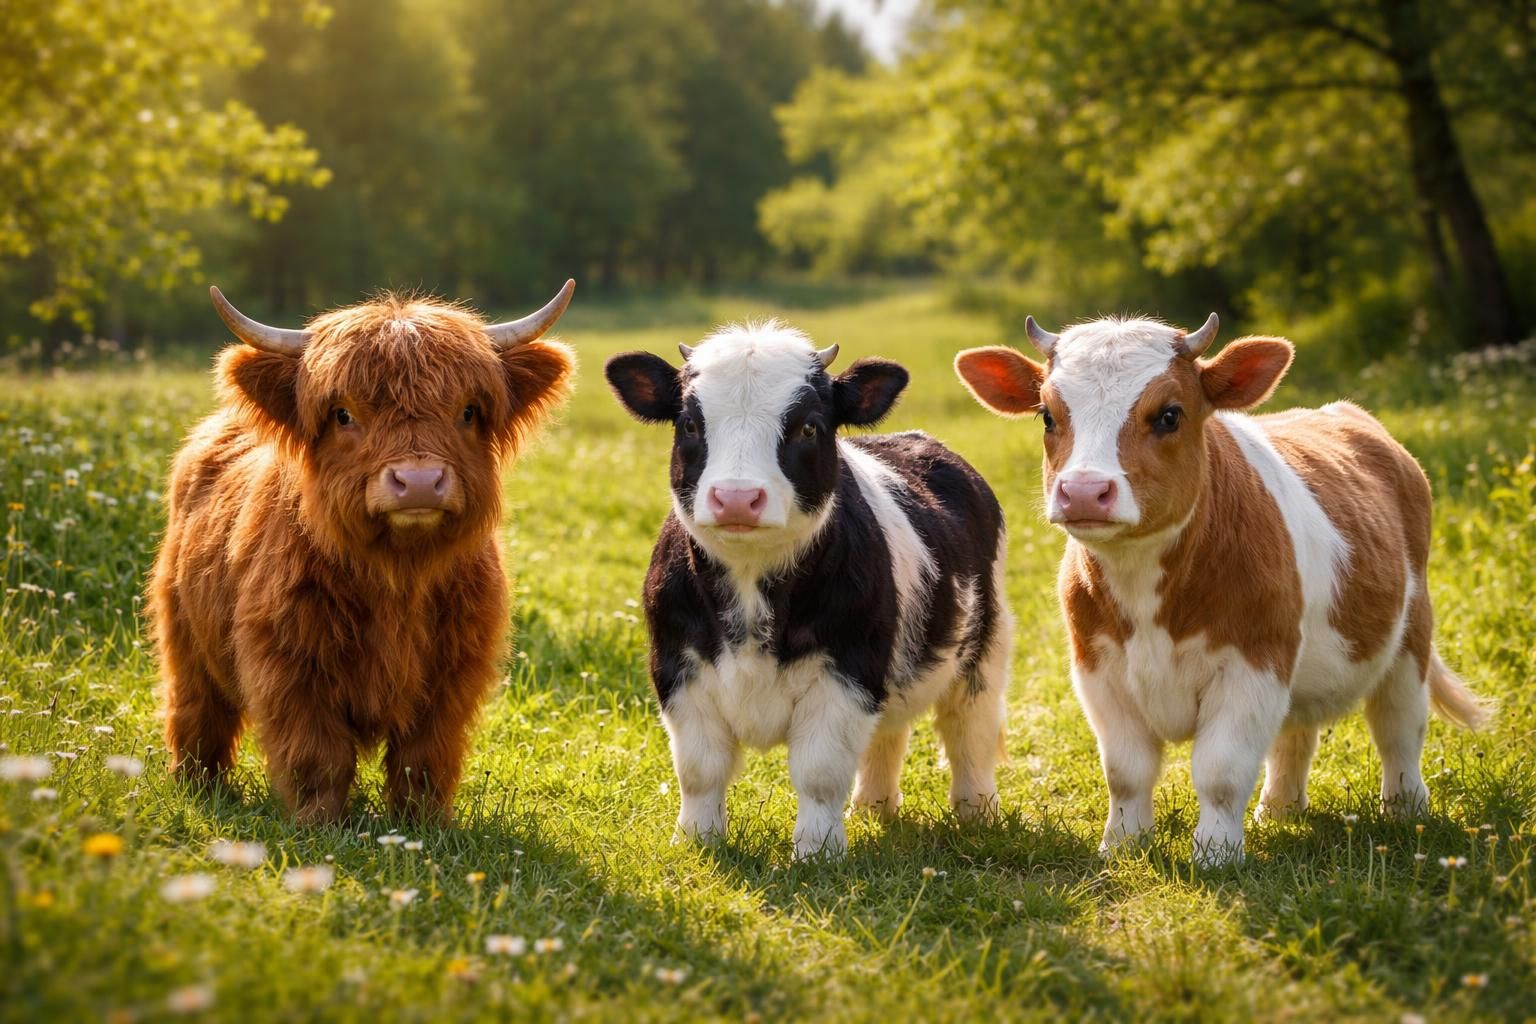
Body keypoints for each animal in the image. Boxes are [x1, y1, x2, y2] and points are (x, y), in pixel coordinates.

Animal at [147, 282, 576, 824]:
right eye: (344, 413)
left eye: (467, 411)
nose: (419, 481)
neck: (397, 575)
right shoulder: (289, 664)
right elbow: (319, 756)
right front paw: (319, 824)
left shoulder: (453, 672)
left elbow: (424, 759)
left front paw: (421, 825)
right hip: (184, 633)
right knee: (197, 711)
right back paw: (198, 784)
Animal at [604, 321, 1012, 860]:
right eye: (689, 424)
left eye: (809, 427)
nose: (737, 498)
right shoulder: (677, 668)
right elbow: (700, 769)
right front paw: (696, 842)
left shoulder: (847, 671)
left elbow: (819, 772)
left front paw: (818, 853)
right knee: (889, 735)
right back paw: (873, 808)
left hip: (985, 650)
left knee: (969, 731)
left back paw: (977, 814)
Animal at [955, 313, 1490, 865]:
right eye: (1047, 415)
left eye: (1169, 415)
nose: (1083, 491)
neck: (1145, 587)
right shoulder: (1097, 668)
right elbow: (1126, 770)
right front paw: (1122, 846)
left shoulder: (1253, 664)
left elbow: (1221, 770)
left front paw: (1216, 855)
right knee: (1296, 734)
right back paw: (1279, 809)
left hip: (1411, 636)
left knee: (1399, 726)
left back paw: (1407, 810)